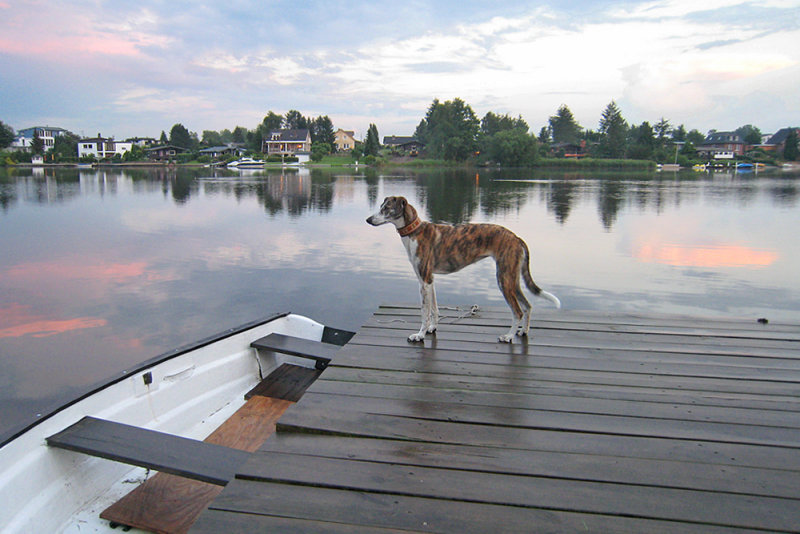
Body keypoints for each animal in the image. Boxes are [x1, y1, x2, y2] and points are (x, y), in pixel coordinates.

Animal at [368, 197, 560, 344]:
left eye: (387, 208)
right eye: (381, 207)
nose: (368, 220)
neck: (415, 231)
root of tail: (517, 238)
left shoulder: (424, 281)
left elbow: (424, 311)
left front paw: (419, 335)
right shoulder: (429, 280)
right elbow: (434, 308)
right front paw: (432, 328)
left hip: (504, 279)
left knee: (518, 311)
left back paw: (508, 336)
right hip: (513, 279)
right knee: (527, 306)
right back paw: (523, 331)